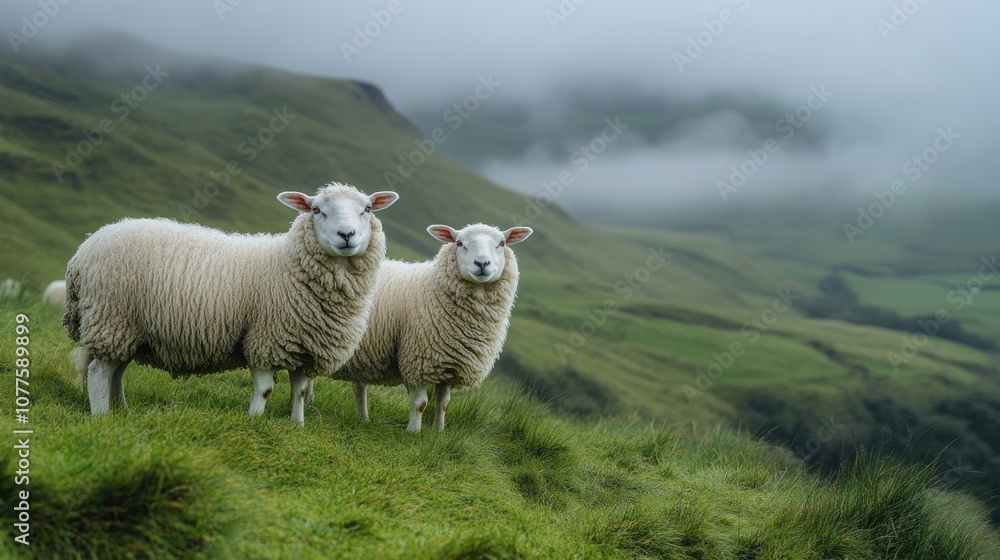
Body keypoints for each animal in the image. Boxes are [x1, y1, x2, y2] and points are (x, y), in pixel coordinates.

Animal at [63, 182, 398, 425]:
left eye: (367, 208)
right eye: (316, 210)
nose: (346, 234)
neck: (289, 263)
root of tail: (84, 250)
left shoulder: (304, 344)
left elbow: (301, 391)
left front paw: (297, 425)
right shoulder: (266, 338)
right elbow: (266, 389)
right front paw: (254, 421)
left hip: (128, 329)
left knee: (116, 371)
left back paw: (121, 409)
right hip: (112, 317)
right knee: (99, 371)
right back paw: (102, 416)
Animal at [320, 222, 533, 432]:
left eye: (502, 243)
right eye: (459, 242)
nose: (482, 264)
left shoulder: (450, 362)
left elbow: (444, 403)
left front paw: (438, 431)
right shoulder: (416, 358)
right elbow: (421, 403)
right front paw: (414, 431)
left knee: (359, 387)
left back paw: (363, 418)